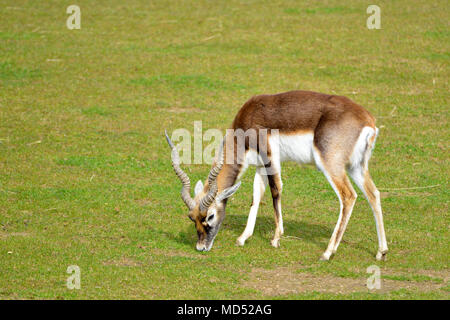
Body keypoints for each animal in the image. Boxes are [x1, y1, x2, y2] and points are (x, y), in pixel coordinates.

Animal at [163, 89, 388, 260]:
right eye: (191, 217)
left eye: (210, 215)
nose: (201, 247)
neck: (248, 120)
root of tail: (367, 120)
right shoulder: (260, 166)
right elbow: (256, 197)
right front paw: (243, 238)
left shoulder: (270, 158)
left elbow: (275, 191)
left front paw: (276, 238)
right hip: (356, 167)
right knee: (374, 194)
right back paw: (381, 252)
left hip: (331, 165)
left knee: (348, 196)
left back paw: (327, 252)